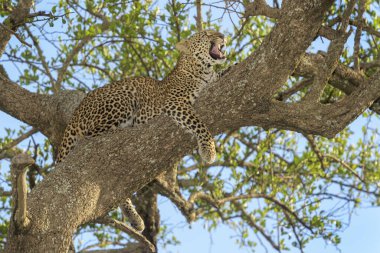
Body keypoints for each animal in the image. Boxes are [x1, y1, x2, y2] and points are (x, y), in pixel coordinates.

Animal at [56, 29, 227, 231]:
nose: (222, 35)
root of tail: (75, 113)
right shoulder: (175, 103)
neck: (204, 71)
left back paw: (135, 218)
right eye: (207, 34)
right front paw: (209, 150)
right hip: (123, 99)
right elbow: (198, 122)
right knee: (90, 135)